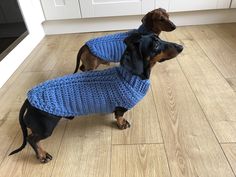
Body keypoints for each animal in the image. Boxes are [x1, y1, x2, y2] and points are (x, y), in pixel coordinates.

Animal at [9, 32, 183, 162]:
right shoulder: (120, 106)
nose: (181, 47)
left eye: (159, 38)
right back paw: (42, 155)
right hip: (46, 127)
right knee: (32, 139)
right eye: (155, 45)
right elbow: (119, 115)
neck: (126, 77)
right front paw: (122, 124)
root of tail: (29, 98)